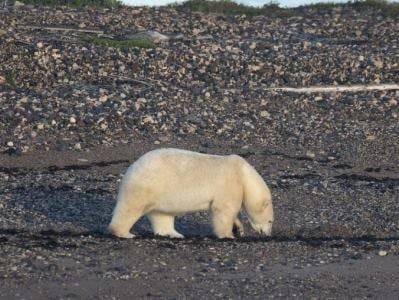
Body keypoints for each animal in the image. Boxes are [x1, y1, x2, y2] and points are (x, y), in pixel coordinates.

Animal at [108, 148, 274, 239]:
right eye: (270, 221)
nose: (268, 234)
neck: (244, 174)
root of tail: (130, 169)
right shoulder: (230, 183)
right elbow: (224, 209)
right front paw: (228, 235)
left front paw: (239, 229)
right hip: (146, 185)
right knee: (130, 208)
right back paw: (125, 233)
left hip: (160, 194)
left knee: (161, 214)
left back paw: (175, 234)